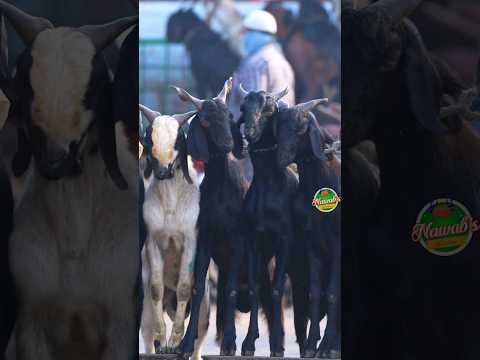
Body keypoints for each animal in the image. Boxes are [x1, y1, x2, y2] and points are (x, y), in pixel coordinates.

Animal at [137, 103, 208, 358]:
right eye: (149, 138)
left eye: (178, 138)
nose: (163, 171)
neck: (170, 202)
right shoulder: (152, 242)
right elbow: (156, 288)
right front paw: (163, 340)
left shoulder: (191, 241)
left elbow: (185, 288)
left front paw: (176, 341)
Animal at [172, 79, 248, 358]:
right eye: (204, 121)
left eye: (229, 117)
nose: (228, 144)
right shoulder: (204, 237)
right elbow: (198, 287)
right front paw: (184, 344)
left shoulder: (238, 239)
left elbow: (232, 289)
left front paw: (231, 343)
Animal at [274, 100, 342, 358]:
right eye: (279, 127)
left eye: (300, 129)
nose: (280, 158)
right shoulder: (312, 243)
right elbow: (315, 293)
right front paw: (313, 344)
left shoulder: (337, 244)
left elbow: (333, 293)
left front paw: (329, 347)